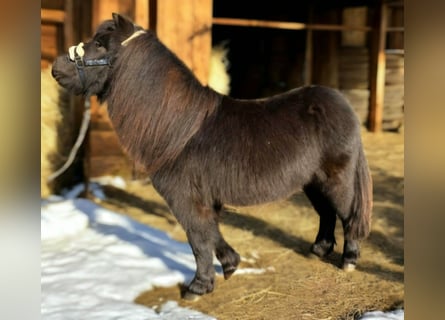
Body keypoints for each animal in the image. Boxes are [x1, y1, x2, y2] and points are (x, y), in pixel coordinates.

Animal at [52, 13, 372, 300]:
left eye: (100, 44)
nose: (56, 67)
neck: (180, 130)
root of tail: (342, 104)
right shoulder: (202, 200)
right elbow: (211, 232)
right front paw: (230, 265)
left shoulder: (185, 199)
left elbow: (198, 239)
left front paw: (198, 287)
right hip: (312, 183)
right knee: (327, 214)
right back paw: (318, 250)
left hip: (336, 180)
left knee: (348, 215)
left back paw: (349, 260)